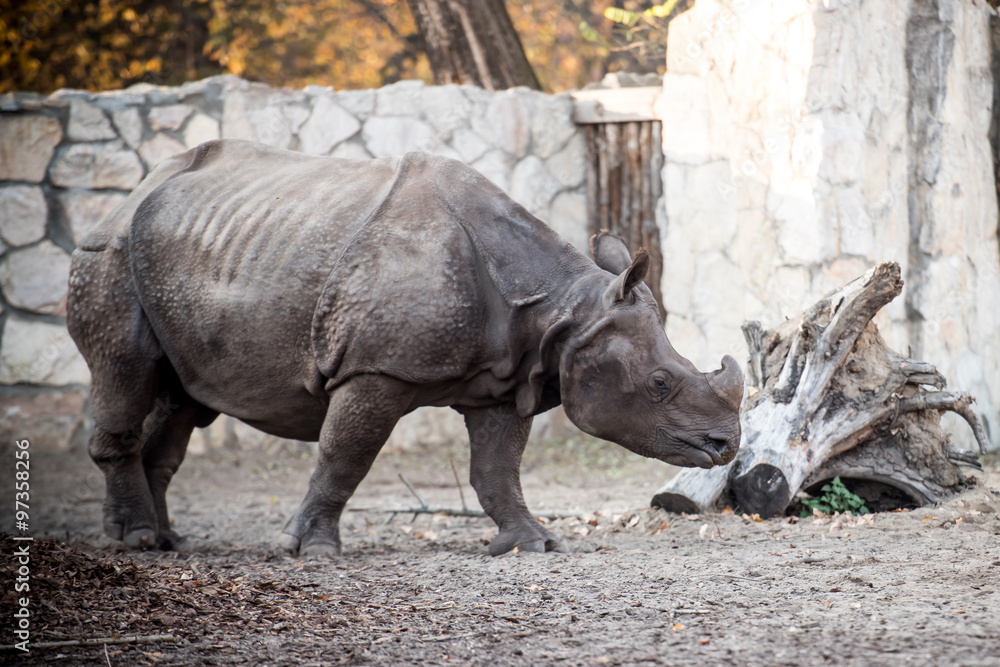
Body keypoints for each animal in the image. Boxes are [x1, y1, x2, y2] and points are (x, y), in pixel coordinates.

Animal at [67, 139, 743, 556]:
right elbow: (345, 455)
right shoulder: (375, 370)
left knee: (181, 394)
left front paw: (533, 544)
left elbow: (497, 468)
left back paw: (168, 541)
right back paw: (134, 541)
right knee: (126, 371)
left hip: (191, 251)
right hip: (111, 256)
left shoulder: (507, 377)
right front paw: (310, 550)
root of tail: (133, 190)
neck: (564, 311)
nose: (725, 446)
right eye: (659, 384)